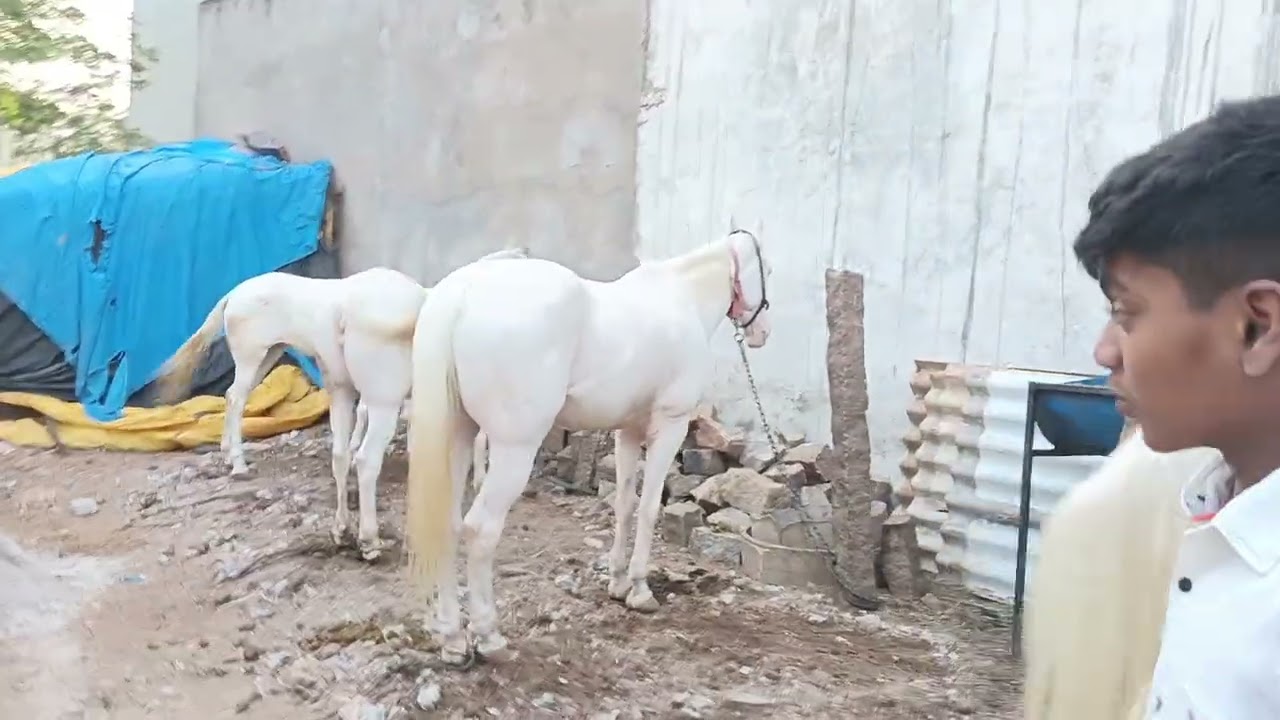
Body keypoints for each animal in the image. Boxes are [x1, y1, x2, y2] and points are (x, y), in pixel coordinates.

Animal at [151, 247, 526, 560]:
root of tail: (234, 294)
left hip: (288, 365)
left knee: (328, 448)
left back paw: (337, 526)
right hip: (275, 363)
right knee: (360, 457)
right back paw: (366, 538)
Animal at [402, 228, 772, 664]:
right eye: (767, 269)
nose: (762, 333)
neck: (684, 300)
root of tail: (461, 294)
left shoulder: (628, 432)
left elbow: (625, 505)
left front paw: (618, 583)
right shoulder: (670, 426)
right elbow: (649, 508)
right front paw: (640, 591)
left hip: (457, 439)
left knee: (448, 523)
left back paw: (453, 639)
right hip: (514, 449)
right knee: (480, 530)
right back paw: (489, 636)